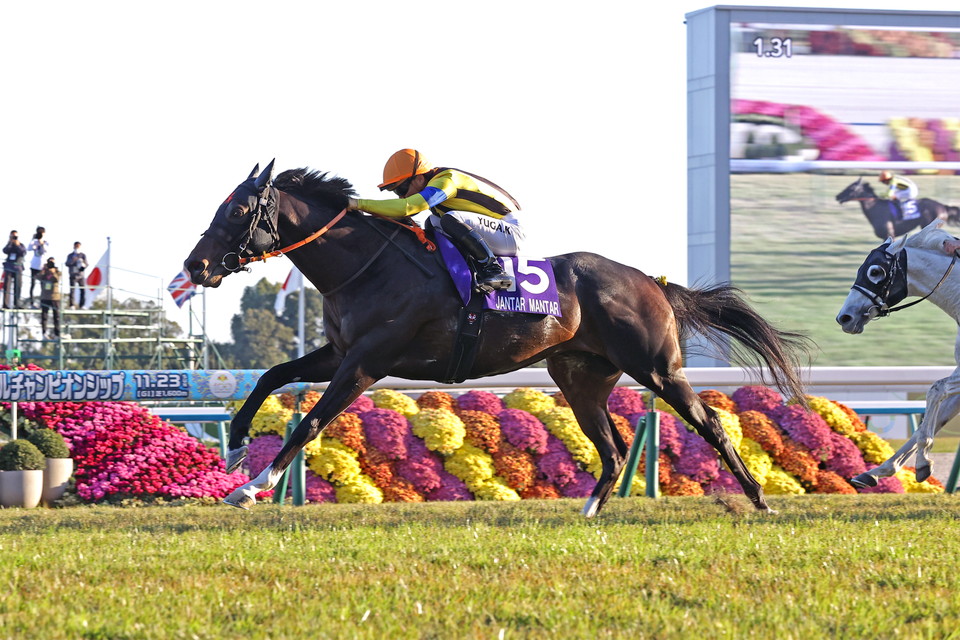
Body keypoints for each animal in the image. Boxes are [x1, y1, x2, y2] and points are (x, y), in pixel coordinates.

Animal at [185, 161, 812, 515]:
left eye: (238, 210)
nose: (195, 266)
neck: (368, 266)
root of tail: (651, 282)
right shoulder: (339, 352)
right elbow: (272, 375)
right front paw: (236, 445)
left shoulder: (365, 363)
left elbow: (312, 420)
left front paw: (252, 487)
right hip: (579, 377)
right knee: (610, 450)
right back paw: (587, 513)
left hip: (658, 369)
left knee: (711, 426)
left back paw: (759, 500)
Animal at [836, 219, 960, 488]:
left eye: (875, 271)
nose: (844, 317)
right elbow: (933, 417)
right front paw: (876, 471)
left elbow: (935, 390)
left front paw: (923, 461)